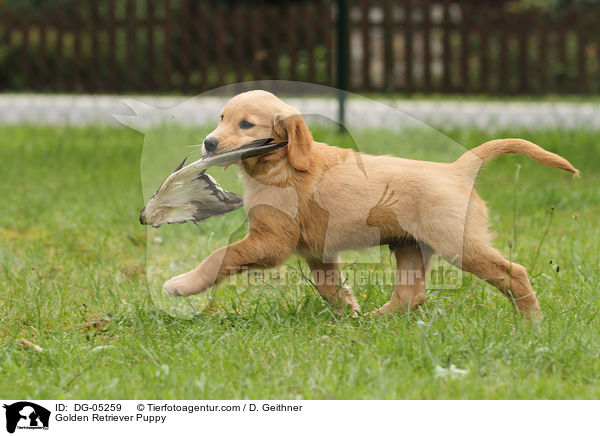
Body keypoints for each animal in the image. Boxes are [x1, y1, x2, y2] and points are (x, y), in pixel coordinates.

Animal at [163, 89, 576, 316]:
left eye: (246, 124)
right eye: (221, 117)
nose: (209, 143)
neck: (281, 165)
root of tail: (459, 168)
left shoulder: (271, 240)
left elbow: (221, 255)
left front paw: (182, 284)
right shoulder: (316, 250)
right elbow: (328, 286)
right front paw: (348, 312)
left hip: (457, 242)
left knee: (513, 273)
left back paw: (533, 322)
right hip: (410, 245)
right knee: (411, 294)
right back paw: (373, 321)